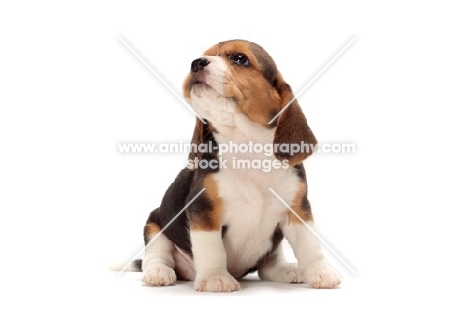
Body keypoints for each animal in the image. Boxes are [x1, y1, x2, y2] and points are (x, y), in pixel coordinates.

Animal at [133, 39, 342, 292]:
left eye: (240, 59)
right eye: (205, 56)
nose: (196, 63)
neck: (247, 146)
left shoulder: (297, 209)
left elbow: (309, 244)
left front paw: (321, 272)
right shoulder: (204, 209)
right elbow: (211, 249)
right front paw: (215, 278)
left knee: (268, 265)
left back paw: (287, 269)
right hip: (155, 223)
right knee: (157, 254)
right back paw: (159, 272)